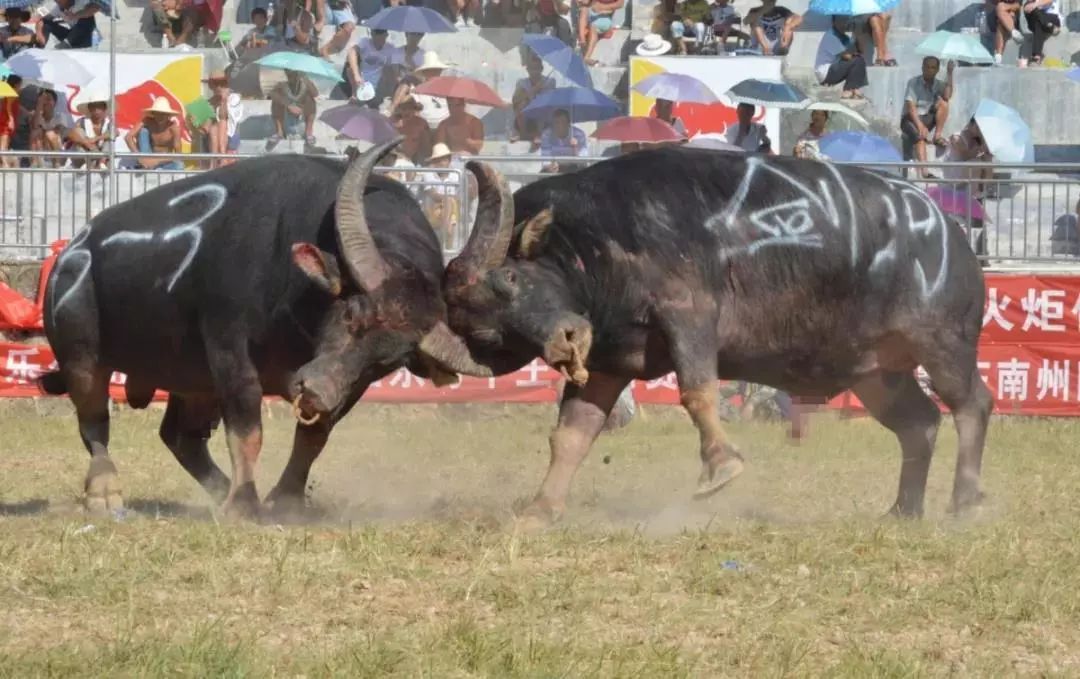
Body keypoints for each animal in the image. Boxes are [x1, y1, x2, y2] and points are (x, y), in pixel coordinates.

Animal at [41, 140, 490, 515]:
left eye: (388, 360)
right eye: (351, 313)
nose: (316, 390)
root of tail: (72, 251)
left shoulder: (345, 386)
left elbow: (313, 436)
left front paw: (283, 499)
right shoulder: (229, 351)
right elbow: (248, 431)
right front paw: (245, 502)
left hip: (193, 381)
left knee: (180, 436)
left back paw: (219, 490)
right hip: (81, 357)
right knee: (94, 422)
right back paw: (105, 493)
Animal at [444, 145, 993, 526]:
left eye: (510, 277)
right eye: (488, 333)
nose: (564, 340)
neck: (596, 242)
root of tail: (950, 234)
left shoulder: (689, 315)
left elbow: (697, 392)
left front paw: (720, 465)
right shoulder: (606, 364)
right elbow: (573, 434)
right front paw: (541, 509)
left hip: (943, 344)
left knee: (972, 404)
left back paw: (966, 500)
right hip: (877, 373)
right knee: (920, 423)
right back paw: (904, 510)